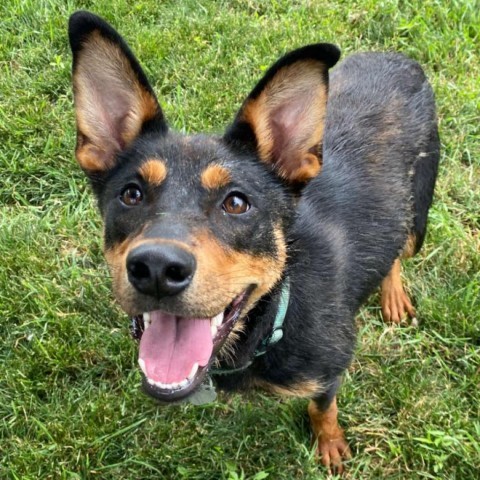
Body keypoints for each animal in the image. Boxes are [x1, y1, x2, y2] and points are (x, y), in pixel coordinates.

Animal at [69, 11, 440, 472]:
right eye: (131, 194)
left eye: (236, 202)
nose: (156, 268)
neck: (271, 319)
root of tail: (402, 60)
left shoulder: (330, 368)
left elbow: (323, 407)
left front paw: (330, 445)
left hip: (417, 217)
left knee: (397, 253)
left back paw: (392, 295)